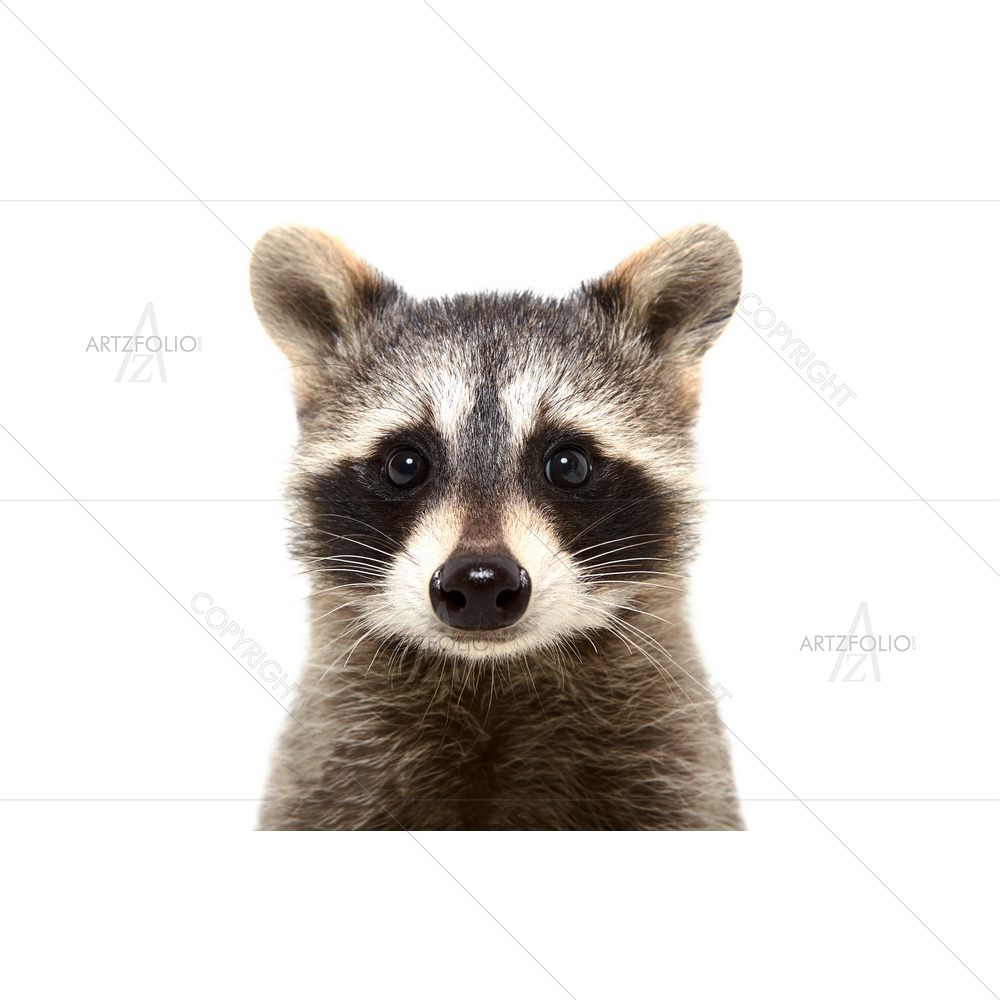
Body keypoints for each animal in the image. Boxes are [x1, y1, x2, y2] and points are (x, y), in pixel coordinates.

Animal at [250, 222, 744, 830]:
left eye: (569, 464)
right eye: (404, 464)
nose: (480, 581)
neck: (490, 677)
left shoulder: (675, 763)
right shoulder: (328, 768)